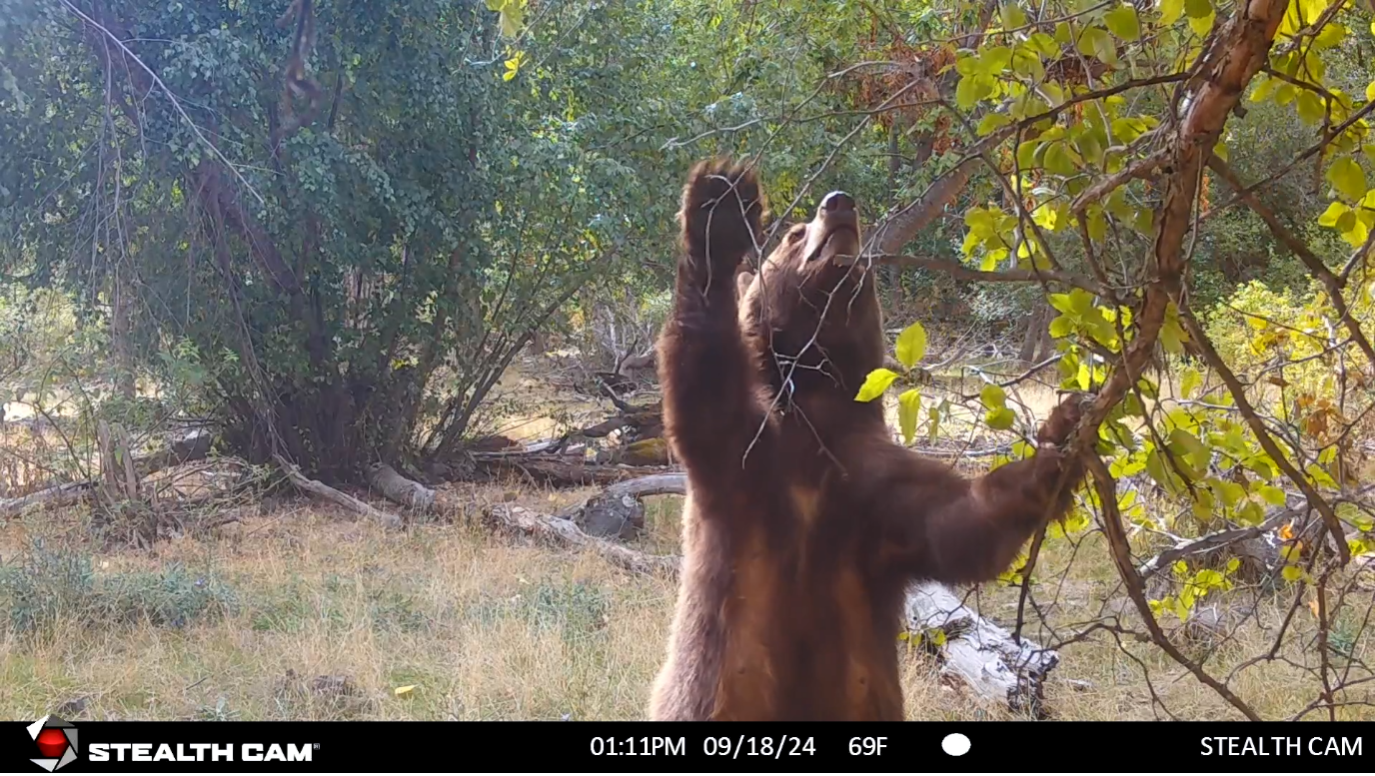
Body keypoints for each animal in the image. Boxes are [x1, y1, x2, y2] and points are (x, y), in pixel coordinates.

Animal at [649, 157, 1089, 720]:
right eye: (794, 234)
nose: (839, 203)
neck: (817, 410)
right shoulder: (747, 462)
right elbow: (704, 386)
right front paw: (719, 212)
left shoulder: (871, 485)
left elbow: (959, 525)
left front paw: (1062, 433)